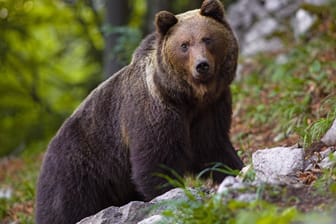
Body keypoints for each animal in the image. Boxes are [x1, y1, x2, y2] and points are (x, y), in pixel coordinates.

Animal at [35, 0, 243, 223]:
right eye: (184, 45)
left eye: (207, 39)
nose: (201, 65)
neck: (186, 97)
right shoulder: (154, 112)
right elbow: (157, 161)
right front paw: (170, 194)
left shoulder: (210, 109)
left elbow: (212, 148)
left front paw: (235, 170)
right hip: (77, 170)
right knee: (64, 208)